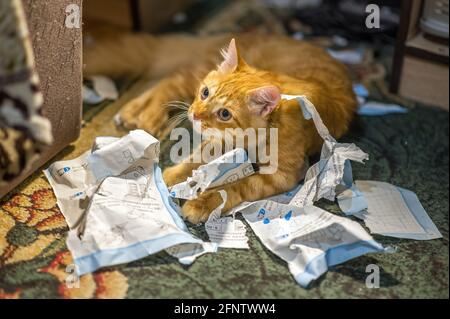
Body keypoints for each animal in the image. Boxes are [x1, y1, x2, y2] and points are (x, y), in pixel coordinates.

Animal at [82, 31, 356, 225]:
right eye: (205, 93)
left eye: (224, 113)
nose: (195, 115)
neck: (251, 140)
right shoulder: (216, 141)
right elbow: (192, 160)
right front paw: (169, 177)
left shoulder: (280, 174)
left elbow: (232, 186)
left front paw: (201, 202)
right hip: (191, 76)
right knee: (168, 82)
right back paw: (142, 114)